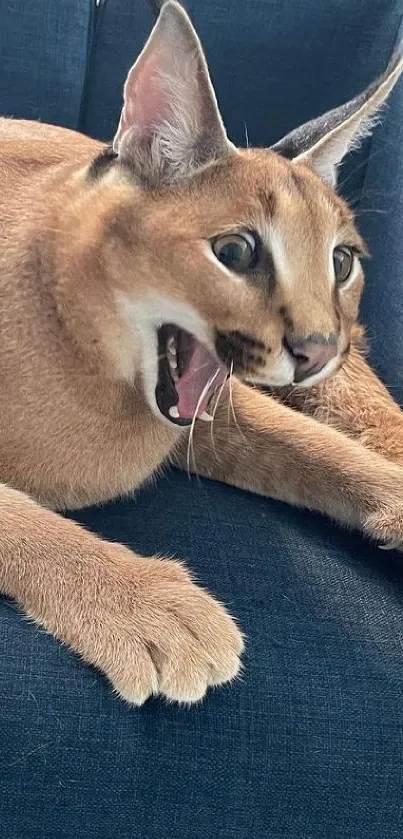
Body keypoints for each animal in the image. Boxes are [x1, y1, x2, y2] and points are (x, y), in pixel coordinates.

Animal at [0, 1, 402, 704]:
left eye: (342, 262)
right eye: (236, 252)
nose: (319, 349)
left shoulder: (221, 405)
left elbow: (315, 446)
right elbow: (12, 516)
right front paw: (143, 605)